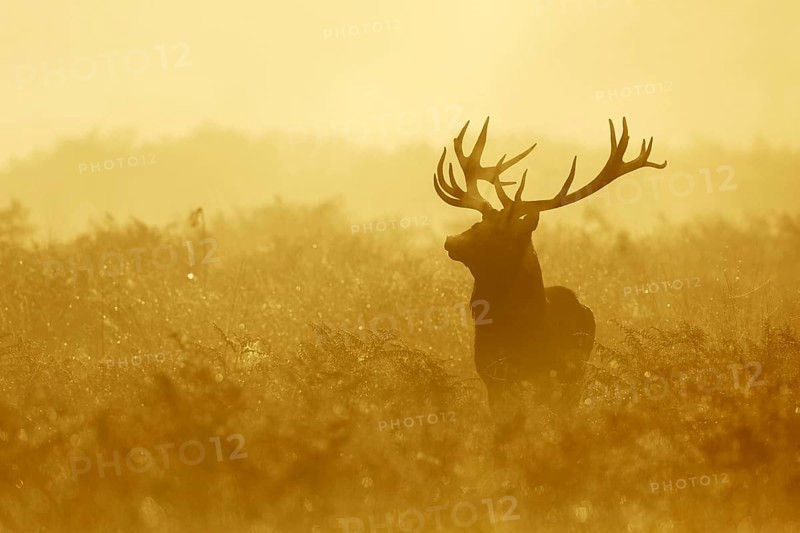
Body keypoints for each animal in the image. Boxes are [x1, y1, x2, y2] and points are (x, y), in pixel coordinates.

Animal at [433, 117, 666, 419]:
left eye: (499, 233)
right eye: (477, 224)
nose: (451, 240)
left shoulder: (546, 376)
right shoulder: (491, 376)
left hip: (576, 375)